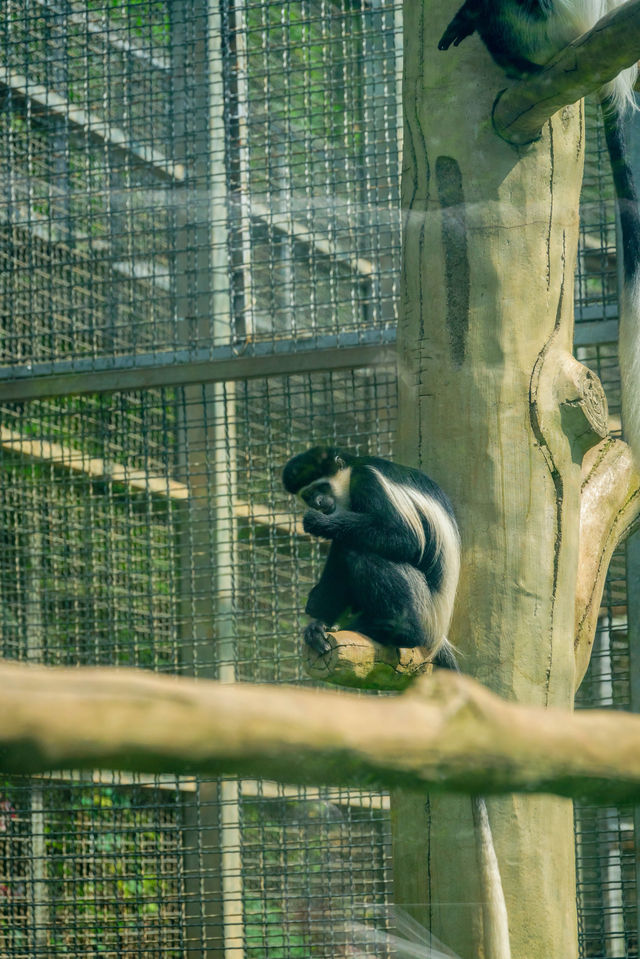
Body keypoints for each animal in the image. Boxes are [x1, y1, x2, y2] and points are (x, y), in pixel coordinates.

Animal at [282, 448, 458, 668]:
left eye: (322, 487)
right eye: (308, 494)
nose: (318, 502)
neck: (350, 474)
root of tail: (439, 630)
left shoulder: (367, 480)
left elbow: (407, 539)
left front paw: (320, 522)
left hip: (423, 601)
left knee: (358, 550)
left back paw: (402, 631)